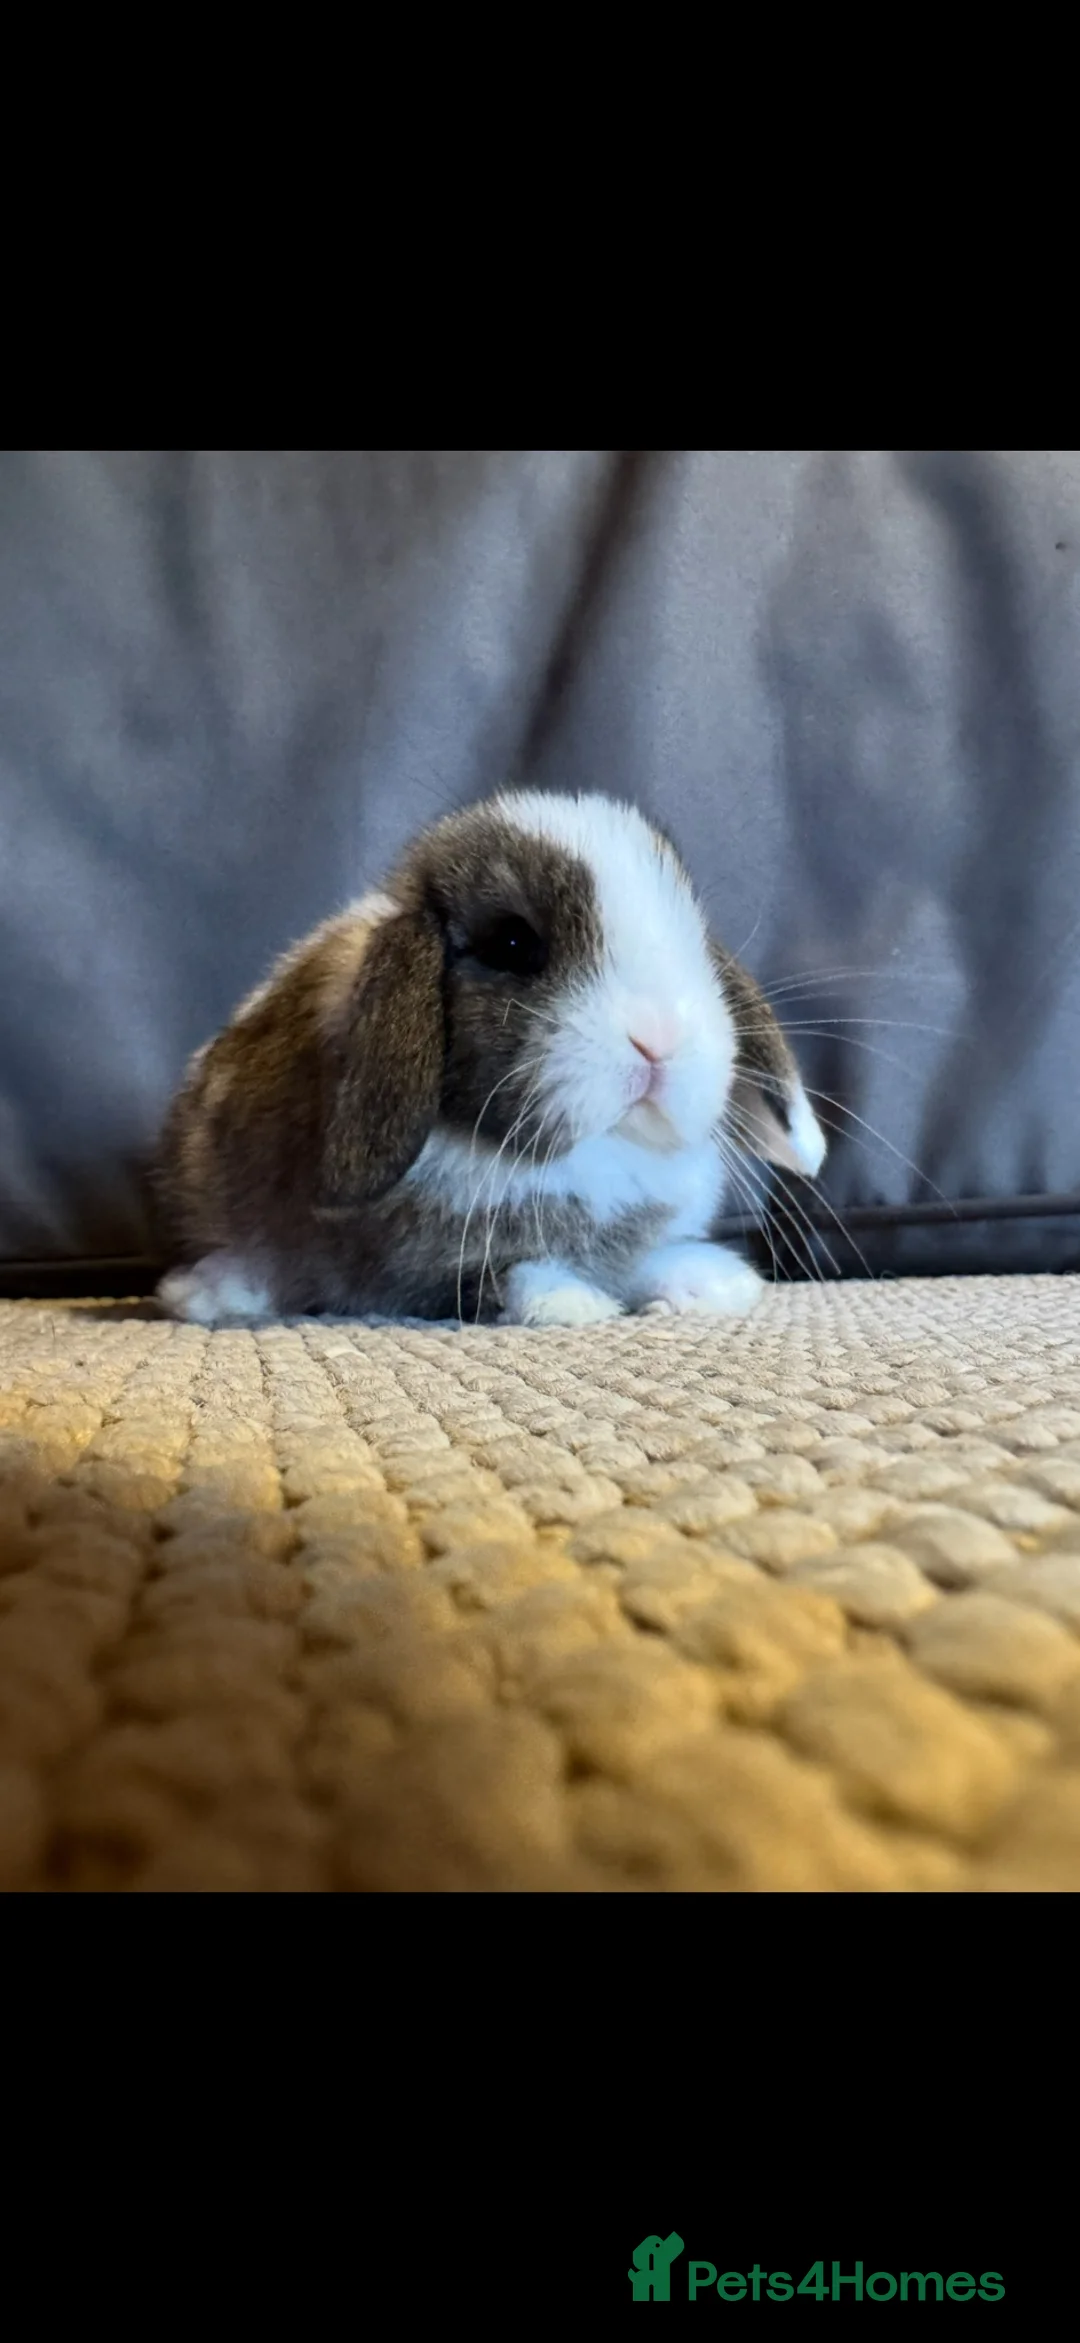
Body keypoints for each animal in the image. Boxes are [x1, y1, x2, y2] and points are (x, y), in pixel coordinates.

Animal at [155, 791, 826, 1328]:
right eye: (512, 944)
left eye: (696, 941)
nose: (660, 1036)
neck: (591, 1158)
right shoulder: (428, 1260)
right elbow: (504, 1274)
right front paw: (570, 1304)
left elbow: (641, 1259)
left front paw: (714, 1283)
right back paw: (207, 1292)